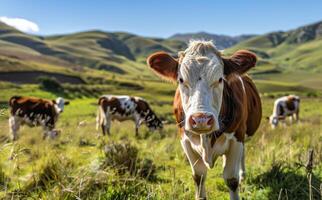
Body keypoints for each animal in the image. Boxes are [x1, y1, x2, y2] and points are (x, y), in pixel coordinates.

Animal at [147, 39, 262, 199]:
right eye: (181, 80)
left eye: (220, 79)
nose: (201, 120)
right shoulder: (185, 141)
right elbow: (199, 176)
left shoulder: (237, 138)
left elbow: (232, 179)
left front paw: (237, 178)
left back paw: (243, 174)